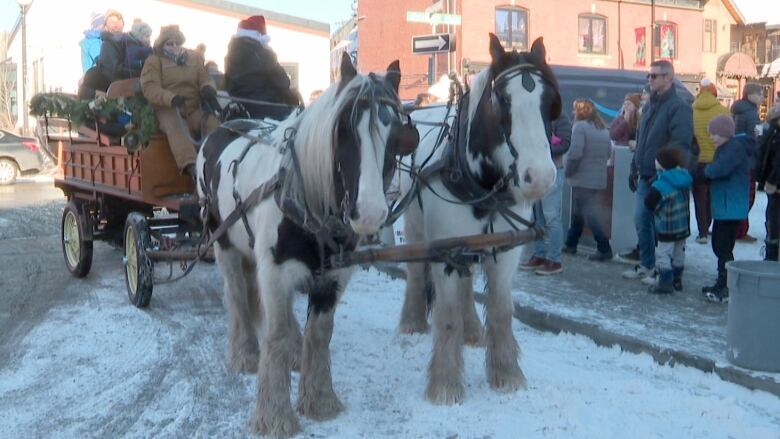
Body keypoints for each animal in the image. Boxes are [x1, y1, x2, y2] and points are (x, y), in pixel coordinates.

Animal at [195, 55, 414, 439]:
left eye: (397, 135)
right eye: (342, 130)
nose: (370, 213)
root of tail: (225, 125)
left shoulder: (333, 276)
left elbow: (320, 334)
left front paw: (320, 399)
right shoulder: (275, 272)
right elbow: (276, 334)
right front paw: (274, 414)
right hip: (223, 241)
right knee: (236, 295)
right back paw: (245, 353)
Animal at [396, 35, 560, 406]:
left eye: (548, 101)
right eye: (502, 101)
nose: (540, 177)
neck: (483, 186)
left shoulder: (506, 252)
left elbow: (500, 310)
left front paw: (506, 374)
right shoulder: (444, 251)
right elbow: (446, 317)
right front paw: (445, 385)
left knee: (468, 280)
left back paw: (472, 330)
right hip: (414, 225)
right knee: (416, 272)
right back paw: (412, 321)